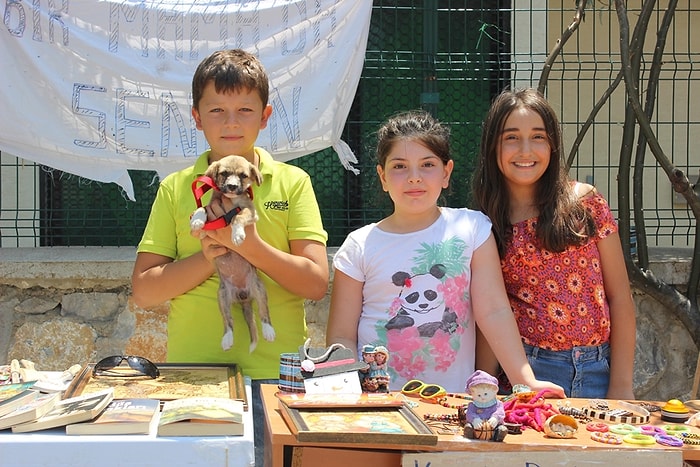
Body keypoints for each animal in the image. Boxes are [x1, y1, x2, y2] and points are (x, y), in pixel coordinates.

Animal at [189, 155, 276, 352]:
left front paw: (237, 235)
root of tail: (243, 297)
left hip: (259, 289)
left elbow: (237, 216)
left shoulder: (250, 211)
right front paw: (197, 221)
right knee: (228, 321)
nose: (232, 187)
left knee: (264, 312)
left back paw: (269, 331)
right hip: (222, 297)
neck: (229, 201)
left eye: (243, 176)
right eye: (224, 173)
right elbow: (202, 208)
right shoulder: (210, 216)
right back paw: (227, 339)